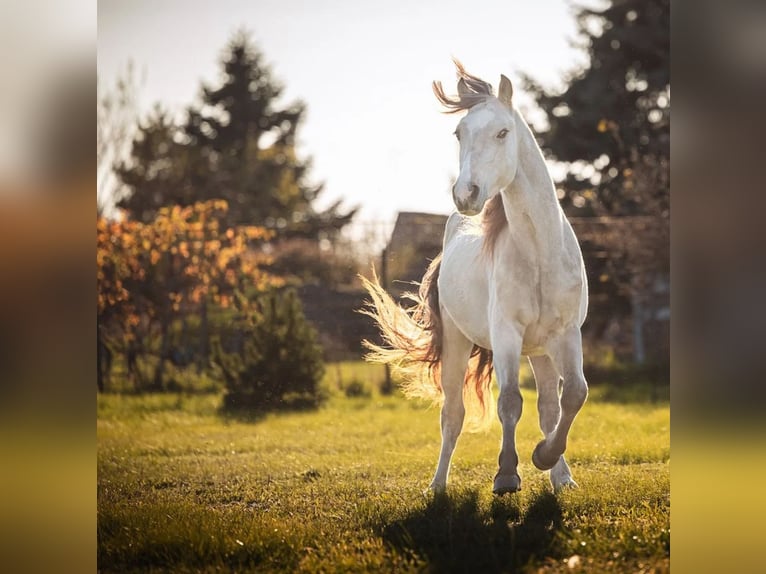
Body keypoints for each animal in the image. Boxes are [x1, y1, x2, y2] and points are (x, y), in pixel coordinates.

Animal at [364, 60, 592, 498]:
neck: (540, 253)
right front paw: (507, 475)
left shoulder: (567, 334)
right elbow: (509, 402)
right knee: (452, 415)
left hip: (540, 349)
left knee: (549, 407)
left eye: (502, 132)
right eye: (459, 133)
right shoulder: (506, 334)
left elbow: (573, 395)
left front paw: (546, 459)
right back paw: (437, 485)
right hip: (457, 343)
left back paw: (561, 476)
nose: (466, 194)